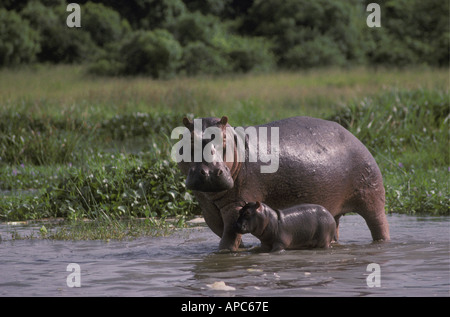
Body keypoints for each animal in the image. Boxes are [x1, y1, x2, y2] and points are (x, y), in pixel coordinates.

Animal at [176, 115, 390, 251]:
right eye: (189, 140)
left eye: (223, 140)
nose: (209, 172)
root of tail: (353, 135)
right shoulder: (208, 209)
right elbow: (226, 233)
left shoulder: (236, 204)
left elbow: (229, 237)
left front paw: (224, 254)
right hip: (333, 207)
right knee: (334, 229)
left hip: (371, 195)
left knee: (379, 224)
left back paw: (382, 243)